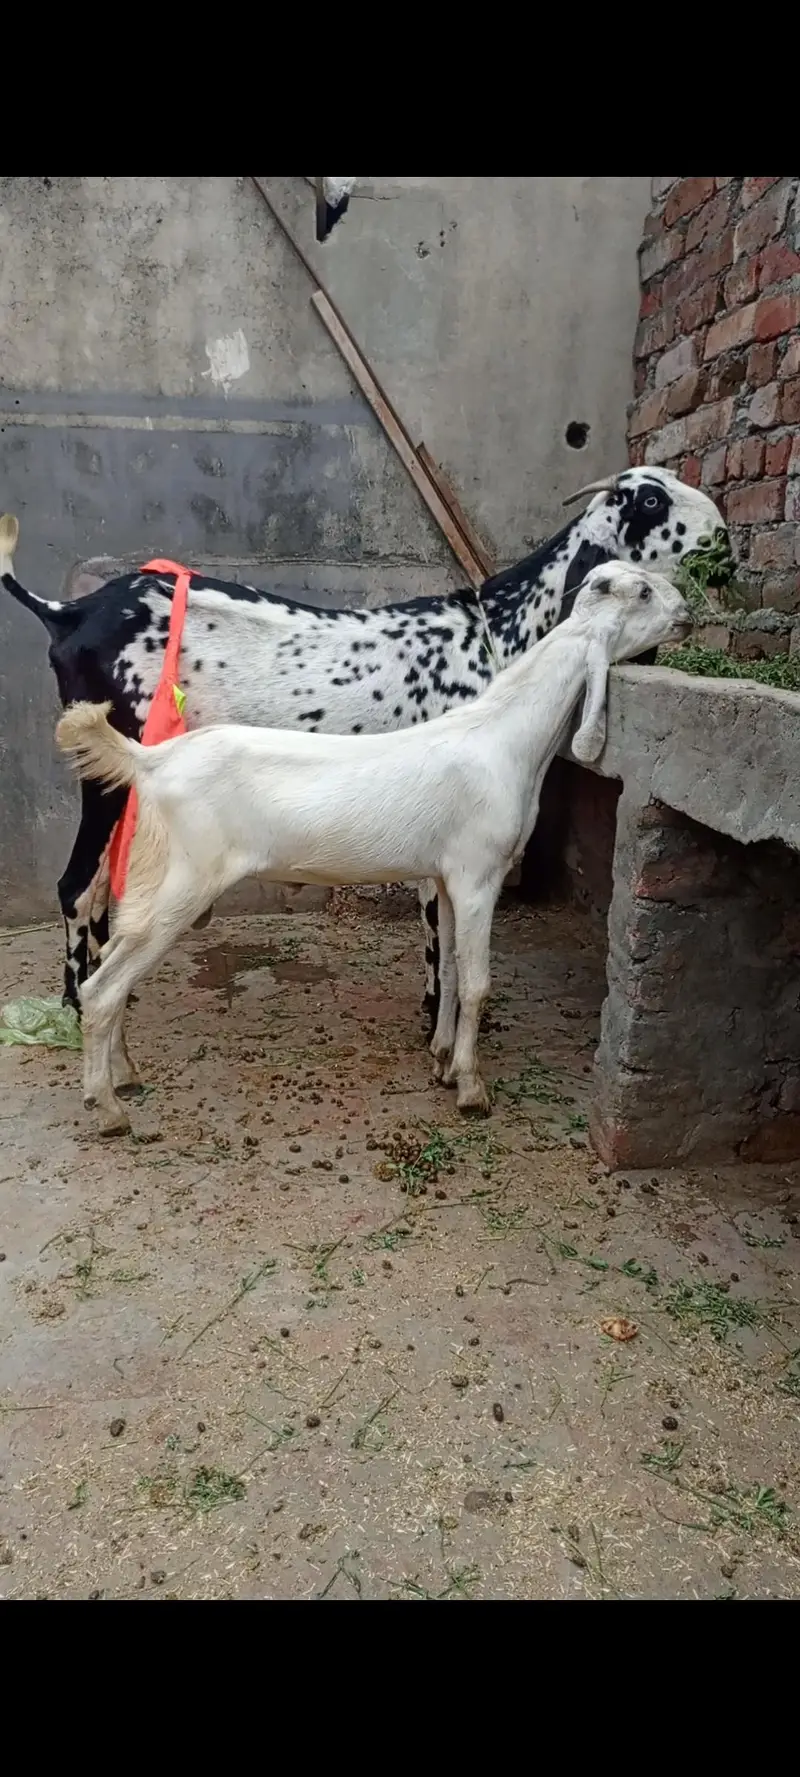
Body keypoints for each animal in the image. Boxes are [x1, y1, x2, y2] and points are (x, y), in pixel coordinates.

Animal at [0, 466, 731, 1024]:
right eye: (650, 500)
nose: (724, 536)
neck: (494, 631)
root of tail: (68, 612)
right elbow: (440, 922)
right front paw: (441, 1019)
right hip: (111, 772)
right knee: (76, 886)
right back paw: (76, 1005)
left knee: (100, 890)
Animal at [57, 563, 691, 1138]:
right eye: (641, 591)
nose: (687, 612)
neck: (504, 737)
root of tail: (150, 760)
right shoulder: (478, 874)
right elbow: (478, 982)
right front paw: (471, 1087)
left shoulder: (446, 876)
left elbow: (451, 970)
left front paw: (441, 1060)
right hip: (182, 881)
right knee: (102, 986)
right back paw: (109, 1110)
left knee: (110, 969)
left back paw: (123, 1074)